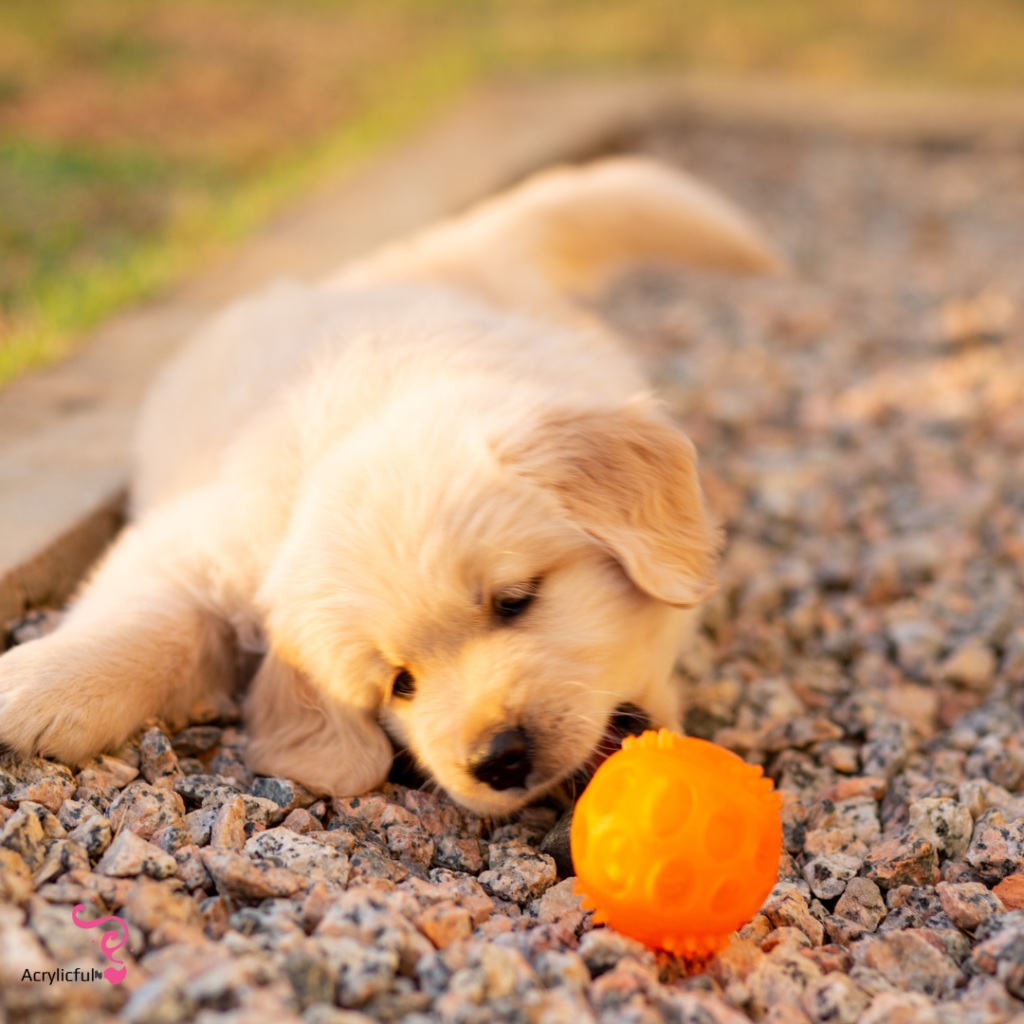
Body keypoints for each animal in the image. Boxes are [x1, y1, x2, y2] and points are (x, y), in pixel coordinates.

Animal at [0, 157, 774, 815]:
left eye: (516, 601)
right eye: (398, 683)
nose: (498, 757)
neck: (383, 400)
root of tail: (422, 259)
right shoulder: (201, 537)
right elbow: (149, 615)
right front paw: (40, 685)